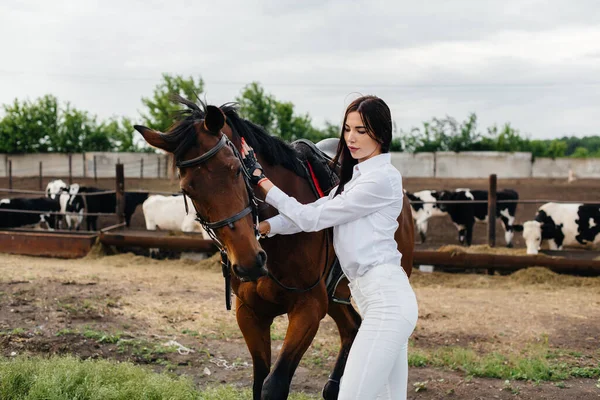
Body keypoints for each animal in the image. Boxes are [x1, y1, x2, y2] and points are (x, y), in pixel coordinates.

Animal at [134, 97, 414, 400]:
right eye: (188, 189)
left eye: (236, 169)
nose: (249, 263)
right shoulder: (251, 313)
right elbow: (259, 382)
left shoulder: (308, 308)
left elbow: (273, 385)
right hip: (335, 295)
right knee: (353, 327)